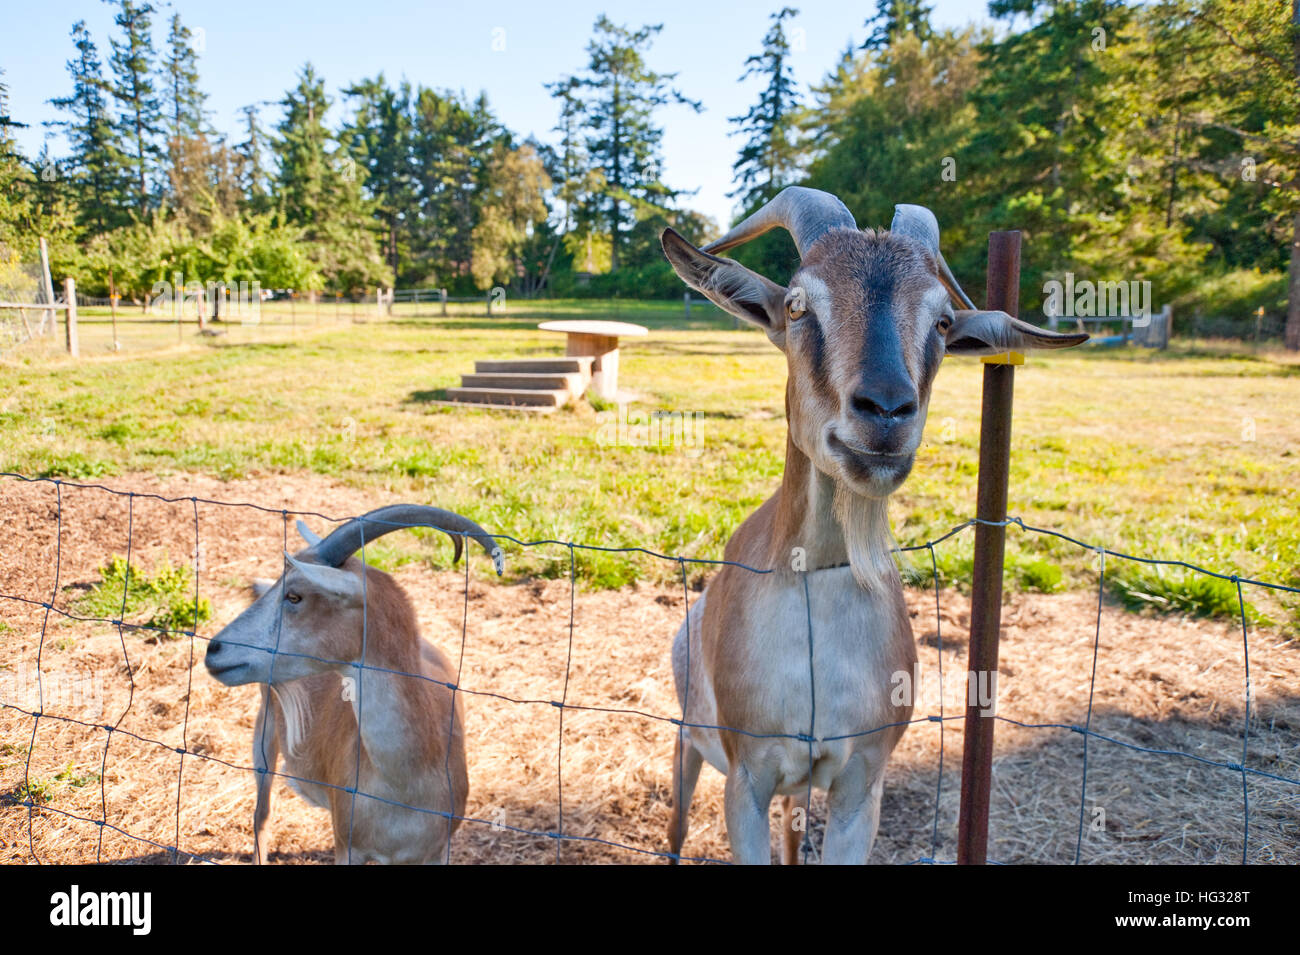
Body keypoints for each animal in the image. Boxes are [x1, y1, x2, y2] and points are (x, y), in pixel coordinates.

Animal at [202, 509, 501, 867]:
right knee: (262, 813)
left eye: (294, 595)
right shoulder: (347, 845)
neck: (405, 785)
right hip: (265, 731)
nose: (214, 650)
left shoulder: (438, 851)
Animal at [660, 188, 1086, 867]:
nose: (886, 411)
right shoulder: (747, 777)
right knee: (676, 826)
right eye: (798, 305)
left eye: (943, 322)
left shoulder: (861, 782)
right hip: (690, 744)